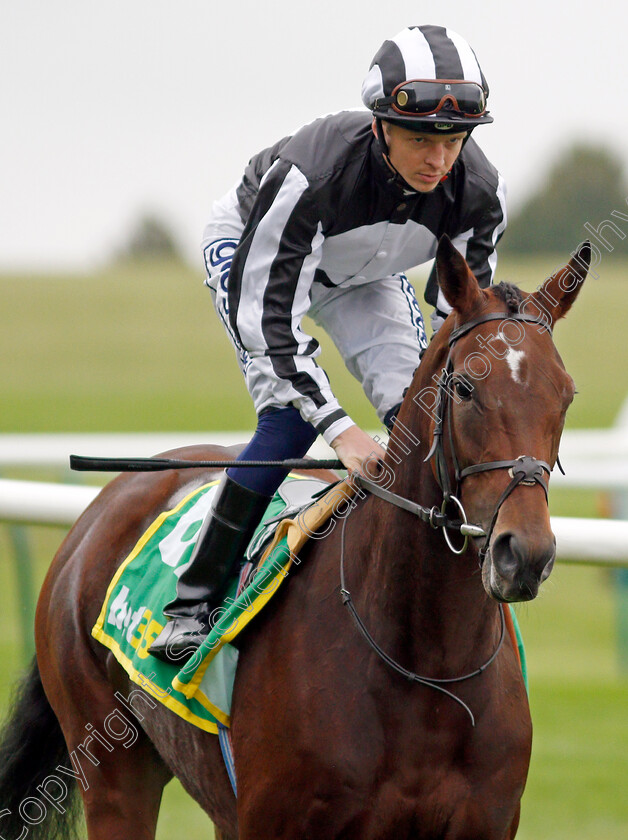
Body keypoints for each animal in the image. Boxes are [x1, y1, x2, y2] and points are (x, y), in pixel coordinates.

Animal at [0, 238, 588, 840]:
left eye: (566, 396)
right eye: (467, 387)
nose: (525, 555)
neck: (427, 669)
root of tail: (99, 510)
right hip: (114, 774)